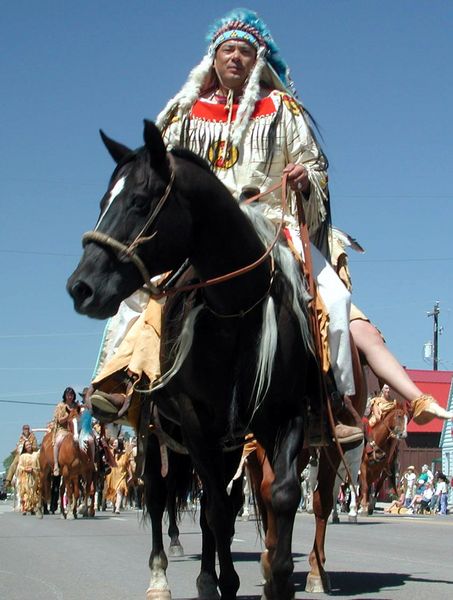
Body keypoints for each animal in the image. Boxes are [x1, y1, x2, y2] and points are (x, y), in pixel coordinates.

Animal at [67, 122, 322, 600]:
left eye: (139, 201)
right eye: (103, 202)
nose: (81, 287)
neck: (237, 311)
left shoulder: (285, 414)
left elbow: (278, 495)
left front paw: (278, 579)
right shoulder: (195, 420)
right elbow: (216, 510)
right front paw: (227, 583)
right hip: (157, 435)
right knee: (159, 497)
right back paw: (164, 578)